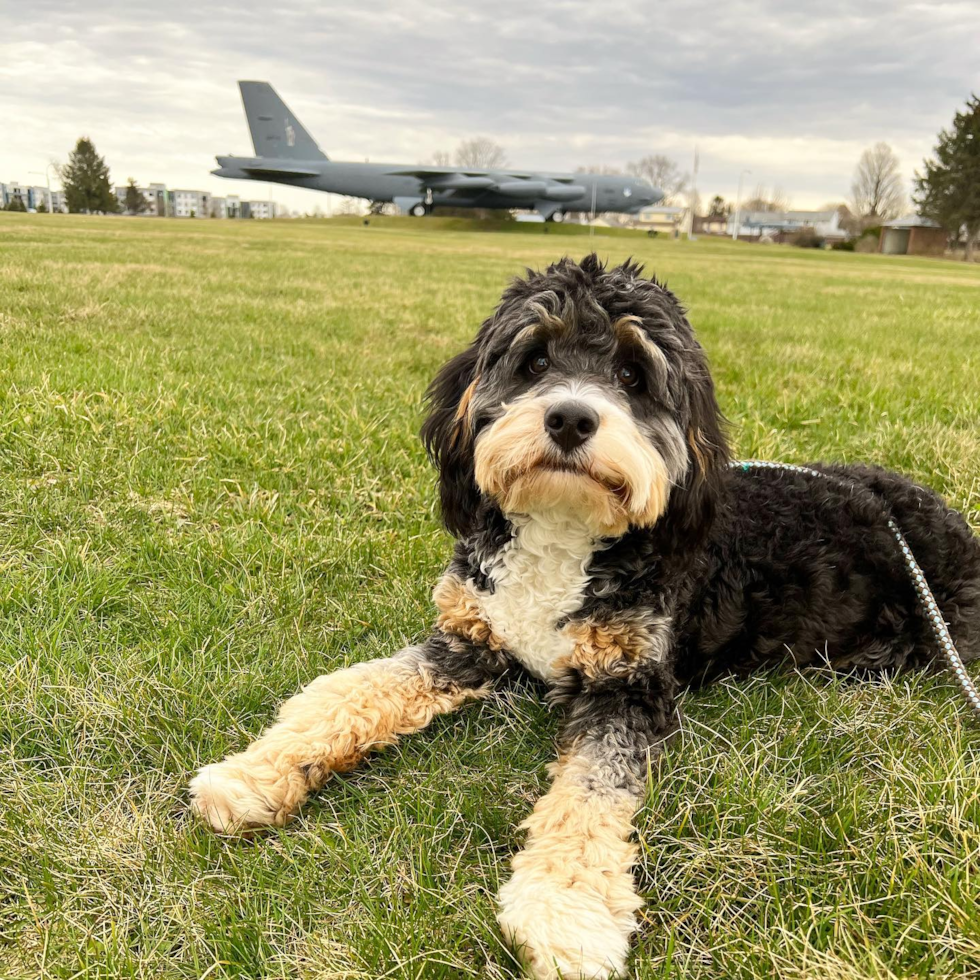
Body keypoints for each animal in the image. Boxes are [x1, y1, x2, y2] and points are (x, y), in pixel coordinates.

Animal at [188, 255, 976, 980]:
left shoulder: (626, 684)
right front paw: (254, 774)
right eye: (534, 359)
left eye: (633, 375)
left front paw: (566, 913)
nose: (569, 416)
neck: (564, 532)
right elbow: (345, 692)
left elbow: (590, 795)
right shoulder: (470, 639)